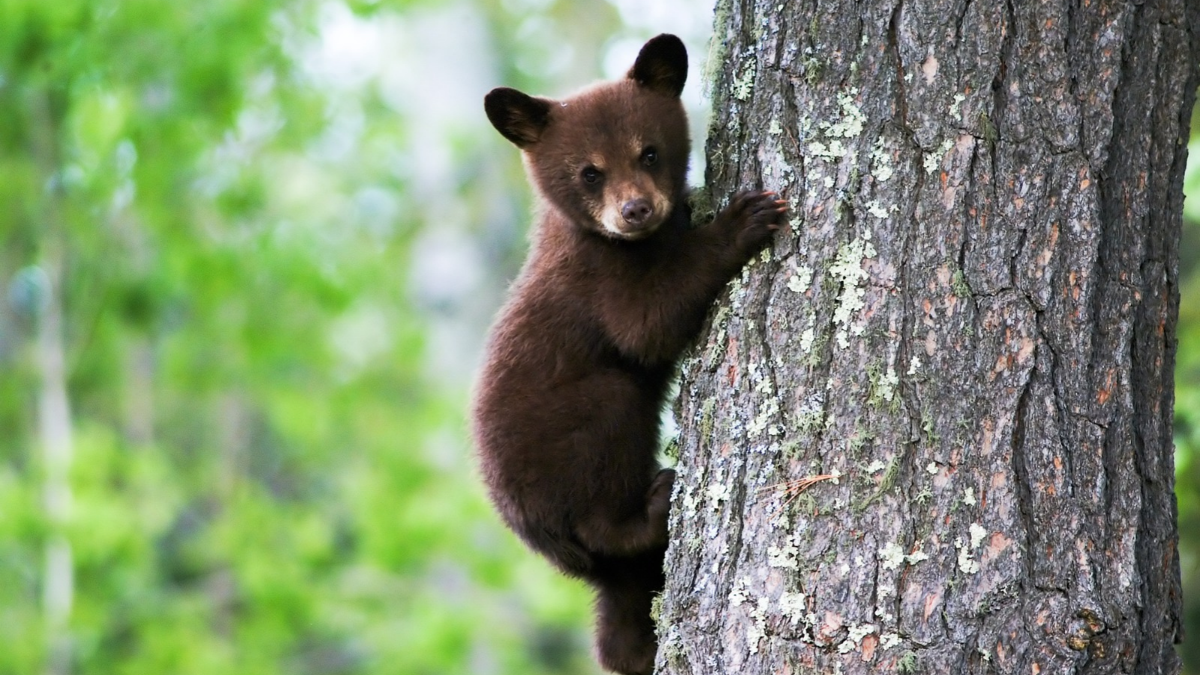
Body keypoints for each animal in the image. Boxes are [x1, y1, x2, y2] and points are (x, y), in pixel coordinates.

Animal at [471, 34, 787, 675]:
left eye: (649, 153)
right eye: (589, 172)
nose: (635, 210)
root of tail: (538, 538)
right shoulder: (597, 279)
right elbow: (647, 324)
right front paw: (743, 219)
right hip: (572, 443)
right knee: (605, 471)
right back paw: (655, 502)